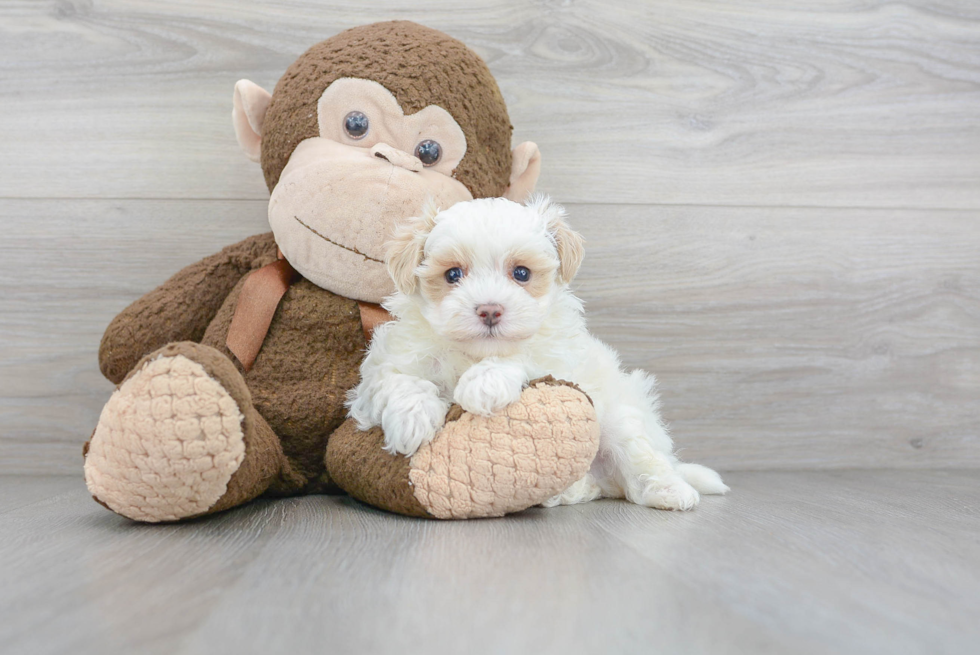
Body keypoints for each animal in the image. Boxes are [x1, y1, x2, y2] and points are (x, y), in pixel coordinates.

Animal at [346, 195, 728, 512]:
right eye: (452, 274)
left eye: (521, 273)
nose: (489, 310)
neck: (474, 353)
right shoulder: (388, 362)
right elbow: (400, 380)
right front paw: (411, 420)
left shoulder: (559, 358)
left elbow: (522, 356)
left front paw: (482, 383)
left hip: (621, 418)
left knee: (642, 459)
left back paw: (670, 491)